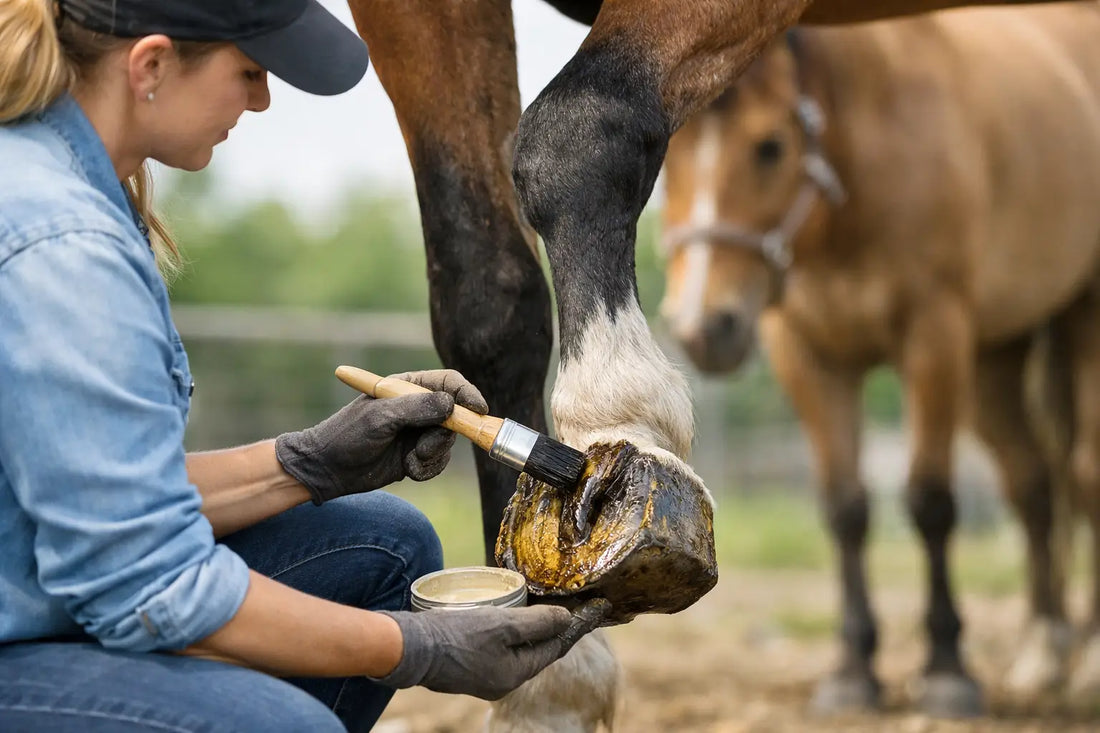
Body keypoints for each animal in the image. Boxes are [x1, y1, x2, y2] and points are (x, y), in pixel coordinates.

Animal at [659, 3, 1100, 716]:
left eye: (770, 146)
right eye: (665, 157)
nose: (703, 327)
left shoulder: (934, 336)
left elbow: (929, 501)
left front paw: (947, 669)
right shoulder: (807, 356)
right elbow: (846, 508)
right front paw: (853, 673)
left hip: (1078, 322)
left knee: (1084, 477)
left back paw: (1086, 658)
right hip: (994, 360)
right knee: (1033, 485)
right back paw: (1044, 652)